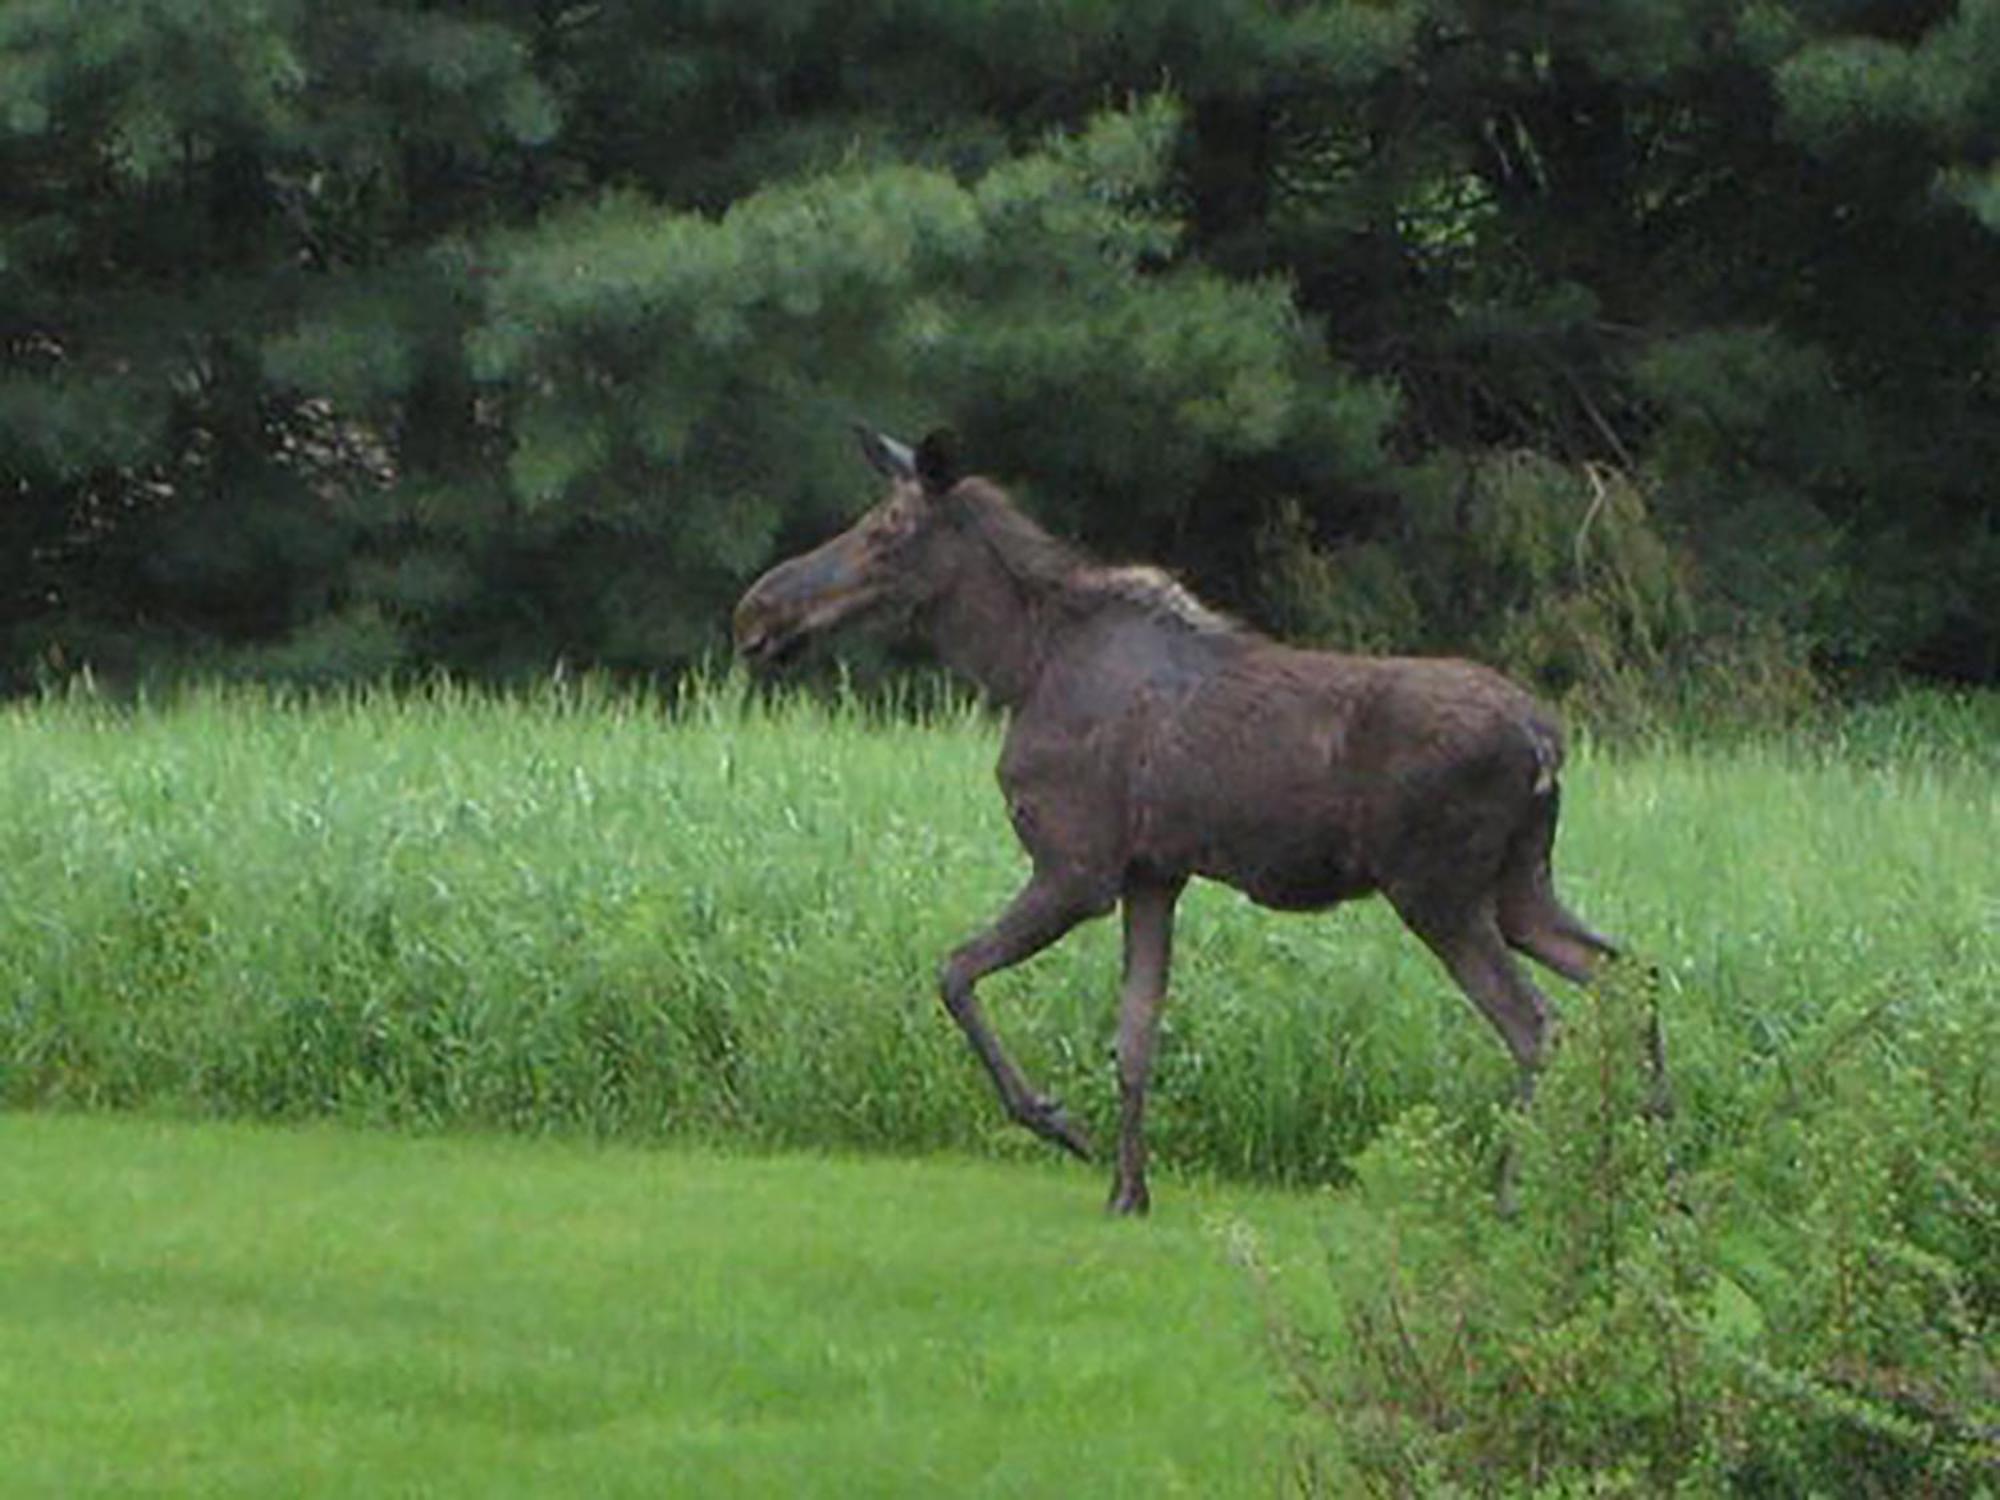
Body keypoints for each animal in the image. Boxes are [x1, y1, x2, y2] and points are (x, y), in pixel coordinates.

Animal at [740, 428, 1624, 1216]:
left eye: (886, 531)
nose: (757, 612)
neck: (1017, 666)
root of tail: (1547, 741)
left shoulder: (1078, 869)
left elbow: (955, 971)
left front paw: (1059, 1124)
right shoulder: (1153, 874)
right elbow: (1135, 1036)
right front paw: (1130, 1190)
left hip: (1439, 889)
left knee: (1537, 1024)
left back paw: (1514, 1196)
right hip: (1519, 885)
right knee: (1621, 973)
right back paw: (1634, 1168)